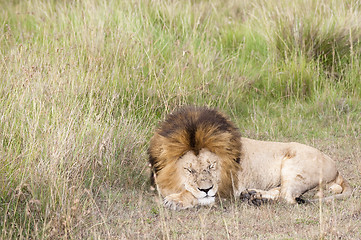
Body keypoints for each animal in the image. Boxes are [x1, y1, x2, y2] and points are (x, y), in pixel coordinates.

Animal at [147, 106, 352, 209]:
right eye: (189, 170)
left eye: (212, 166)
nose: (206, 189)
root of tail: (337, 170)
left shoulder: (227, 188)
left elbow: (194, 195)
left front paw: (176, 200)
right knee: (283, 192)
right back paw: (252, 194)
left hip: (294, 165)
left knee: (288, 198)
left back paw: (257, 200)